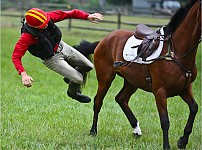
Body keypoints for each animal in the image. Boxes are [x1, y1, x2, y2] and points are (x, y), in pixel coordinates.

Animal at [75, 0, 201, 148]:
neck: (175, 52)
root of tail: (103, 40)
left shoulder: (185, 88)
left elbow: (194, 108)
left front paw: (182, 141)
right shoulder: (160, 92)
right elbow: (165, 121)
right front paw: (167, 146)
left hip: (132, 82)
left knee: (121, 99)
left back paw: (136, 129)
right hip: (105, 78)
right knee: (98, 101)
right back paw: (93, 131)